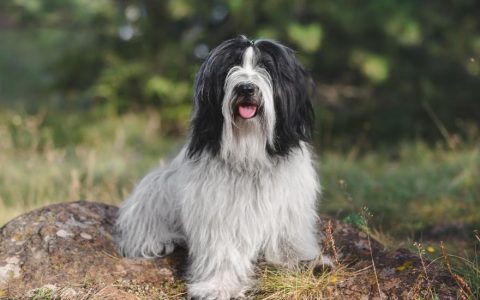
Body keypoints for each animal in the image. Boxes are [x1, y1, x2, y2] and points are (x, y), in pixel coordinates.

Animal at [116, 36, 332, 298]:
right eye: (231, 65)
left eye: (265, 66)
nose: (246, 88)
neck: (249, 153)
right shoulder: (219, 213)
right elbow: (222, 251)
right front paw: (219, 285)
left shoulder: (289, 207)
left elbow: (289, 239)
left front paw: (307, 261)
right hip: (156, 188)